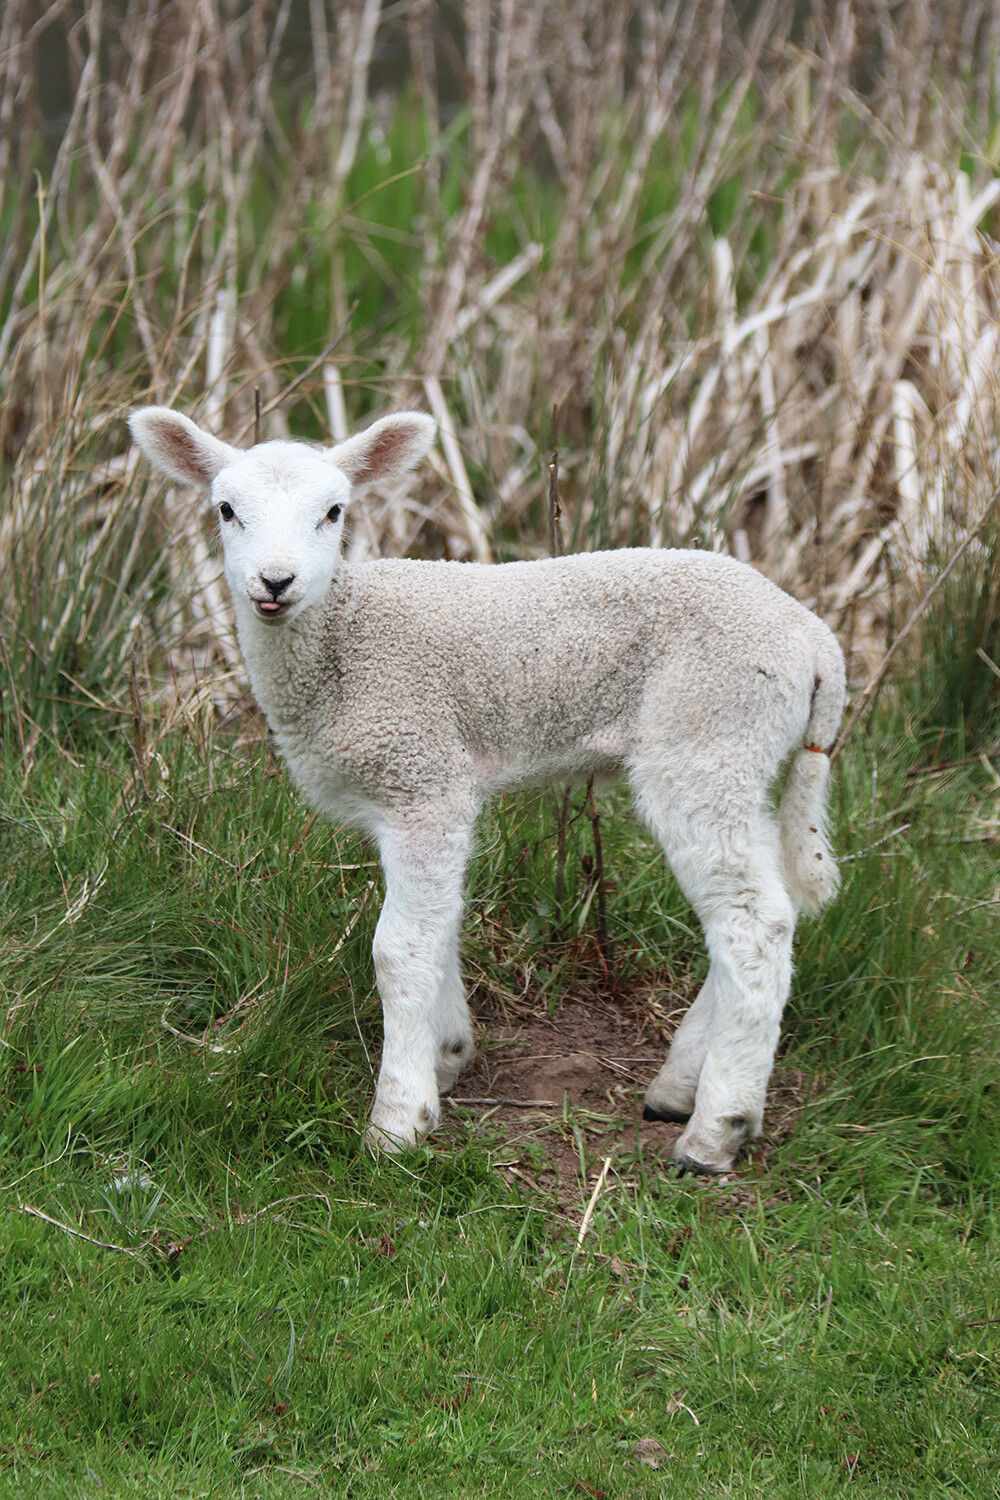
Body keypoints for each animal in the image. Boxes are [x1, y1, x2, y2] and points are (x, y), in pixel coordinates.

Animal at [129, 405, 846, 1175]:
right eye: (226, 510)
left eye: (334, 511)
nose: (275, 581)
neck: (342, 642)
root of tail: (814, 639)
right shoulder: (417, 791)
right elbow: (438, 925)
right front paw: (446, 1053)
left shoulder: (421, 775)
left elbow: (398, 948)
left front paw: (398, 1121)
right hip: (741, 757)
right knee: (770, 904)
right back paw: (680, 1085)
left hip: (708, 734)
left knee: (752, 921)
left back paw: (718, 1128)